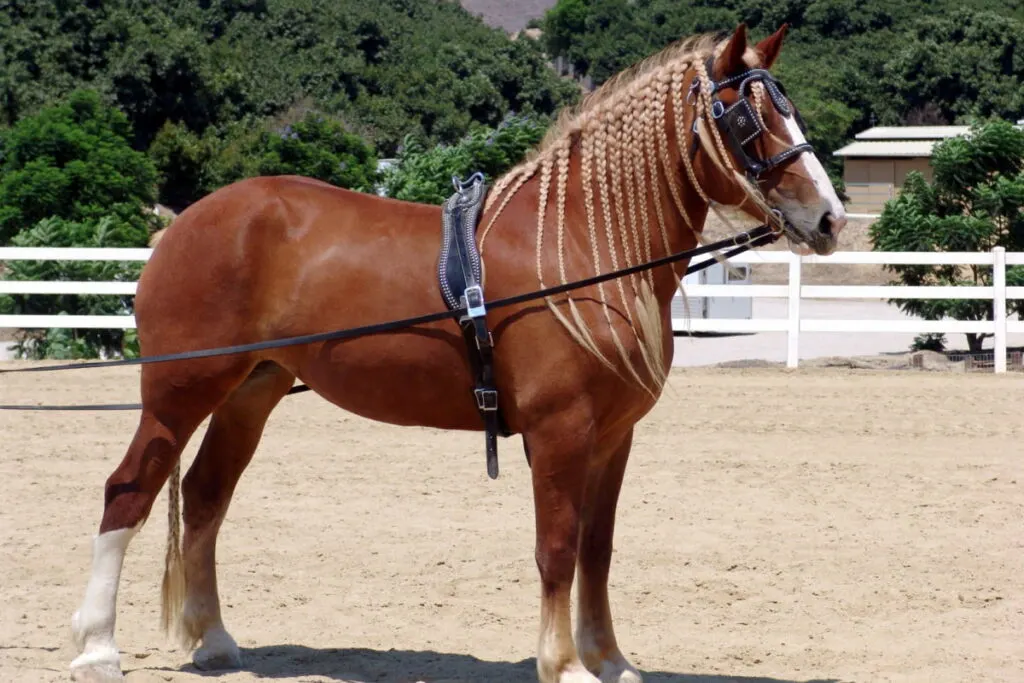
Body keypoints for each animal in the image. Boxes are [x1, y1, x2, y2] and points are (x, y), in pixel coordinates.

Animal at [68, 24, 843, 683]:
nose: (830, 218)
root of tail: (188, 223)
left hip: (252, 392)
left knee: (204, 496)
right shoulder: (559, 434)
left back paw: (216, 640)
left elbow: (596, 550)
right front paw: (564, 664)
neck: (577, 251)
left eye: (790, 110)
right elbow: (558, 547)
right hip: (179, 393)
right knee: (129, 491)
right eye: (745, 119)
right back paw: (97, 646)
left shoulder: (612, 438)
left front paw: (610, 659)